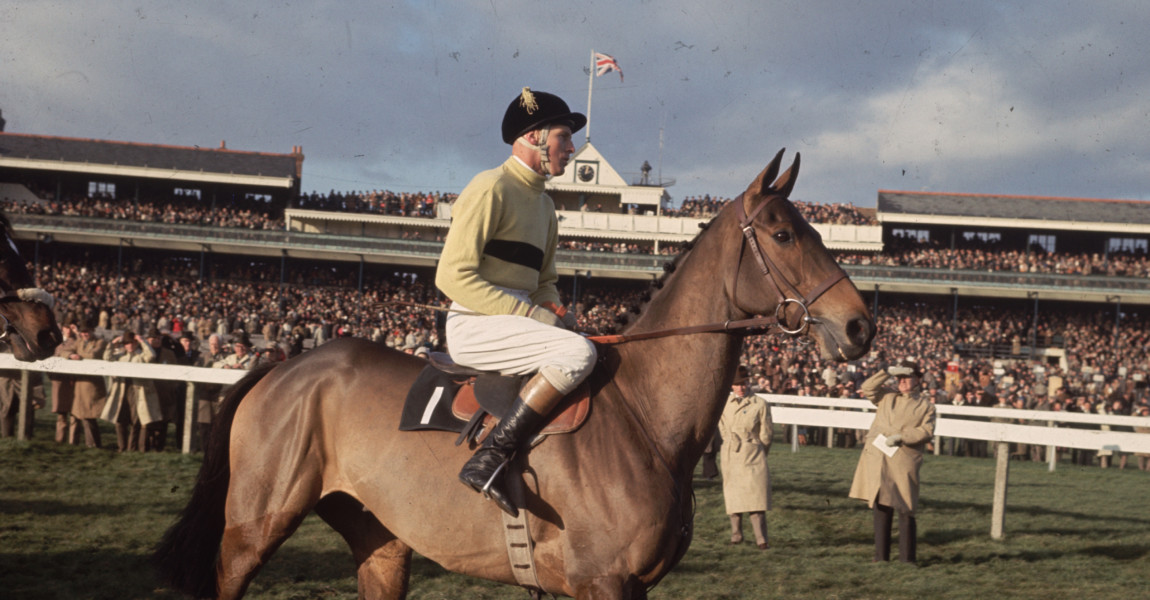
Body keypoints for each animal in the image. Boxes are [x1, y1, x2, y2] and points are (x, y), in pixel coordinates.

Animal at [150, 149, 869, 597]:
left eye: (817, 231)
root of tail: (282, 366)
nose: (861, 324)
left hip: (381, 540)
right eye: (783, 235)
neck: (644, 415)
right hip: (253, 528)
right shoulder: (605, 582)